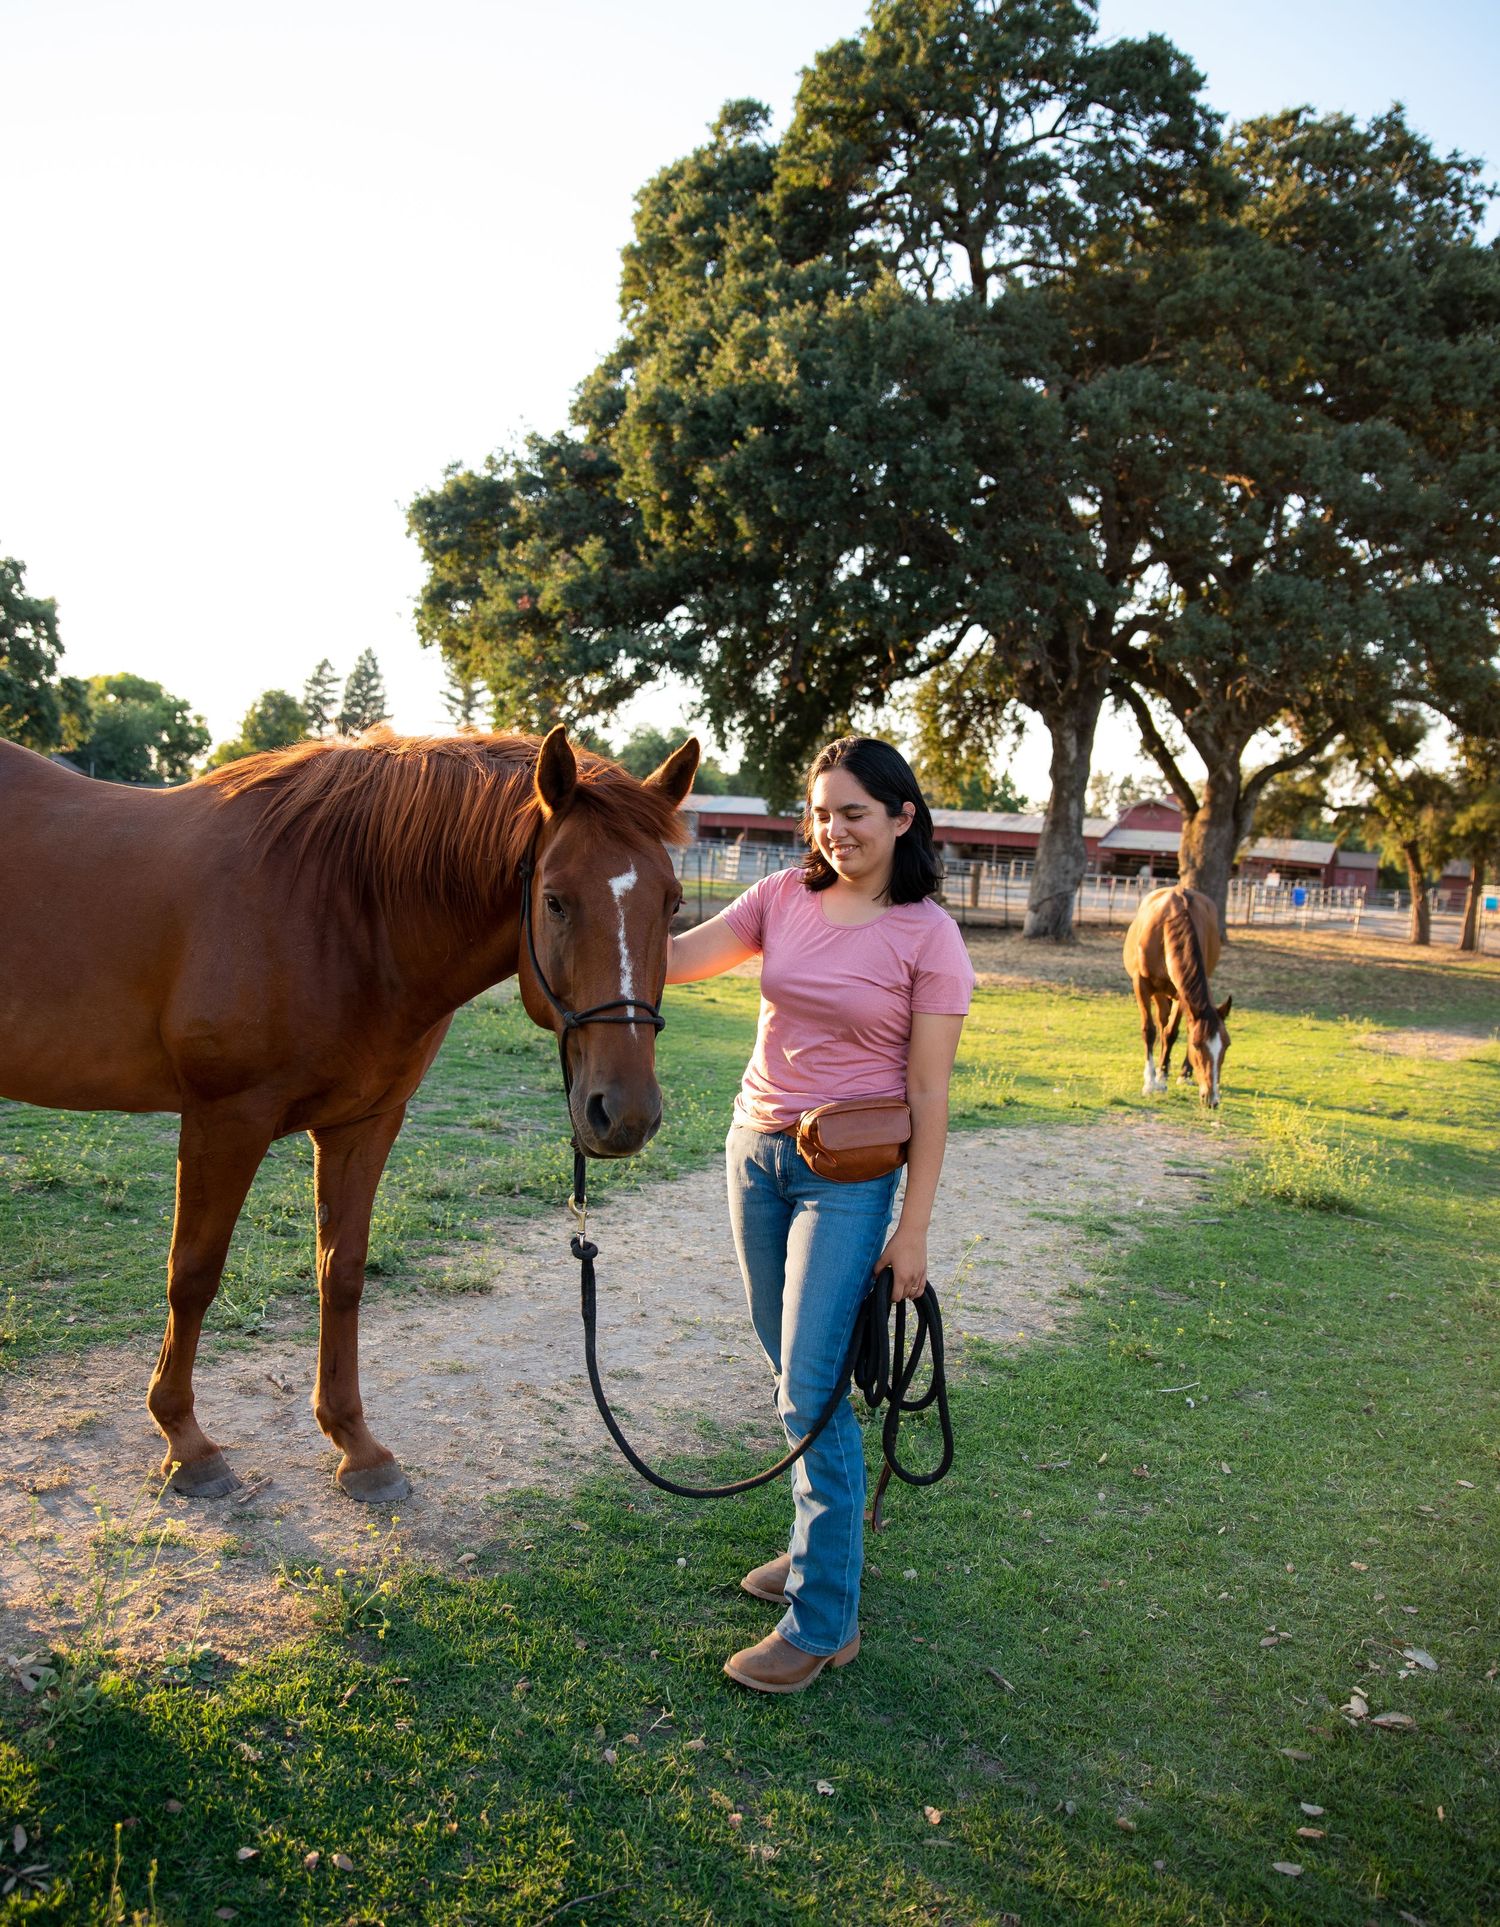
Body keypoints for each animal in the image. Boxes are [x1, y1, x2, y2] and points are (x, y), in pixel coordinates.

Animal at [0, 724, 698, 1503]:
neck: (337, 912)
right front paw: (185, 1440)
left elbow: (342, 1272)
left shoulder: (365, 1124)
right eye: (555, 900)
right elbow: (194, 1274)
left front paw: (356, 1445)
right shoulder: (224, 1120)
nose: (625, 1113)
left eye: (671, 903)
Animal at [1122, 885, 1233, 1107]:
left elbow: (1172, 1033)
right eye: (1197, 1045)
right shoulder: (1141, 984)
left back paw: (1183, 1073)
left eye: (1227, 1045)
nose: (1212, 1099)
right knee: (1161, 1022)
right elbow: (1149, 1030)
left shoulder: (1182, 995)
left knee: (1171, 1027)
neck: (1170, 923)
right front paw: (1150, 1082)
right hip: (1159, 992)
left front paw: (1163, 1077)